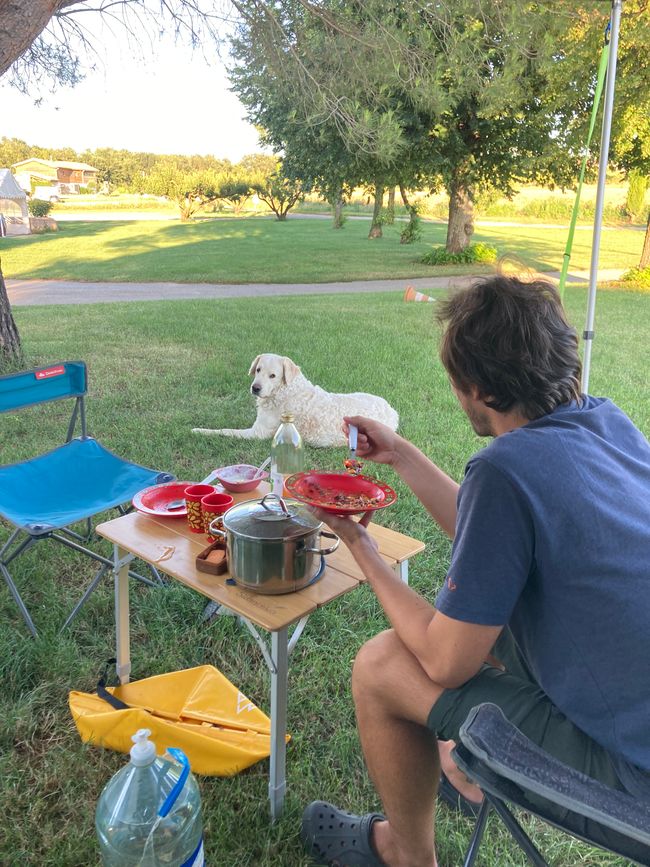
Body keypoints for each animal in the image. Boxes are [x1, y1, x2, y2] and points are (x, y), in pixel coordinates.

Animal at [190, 354, 398, 448]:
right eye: (258, 370)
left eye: (273, 375)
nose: (255, 388)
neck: (283, 390)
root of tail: (392, 412)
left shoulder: (258, 433)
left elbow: (224, 430)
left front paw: (199, 430)